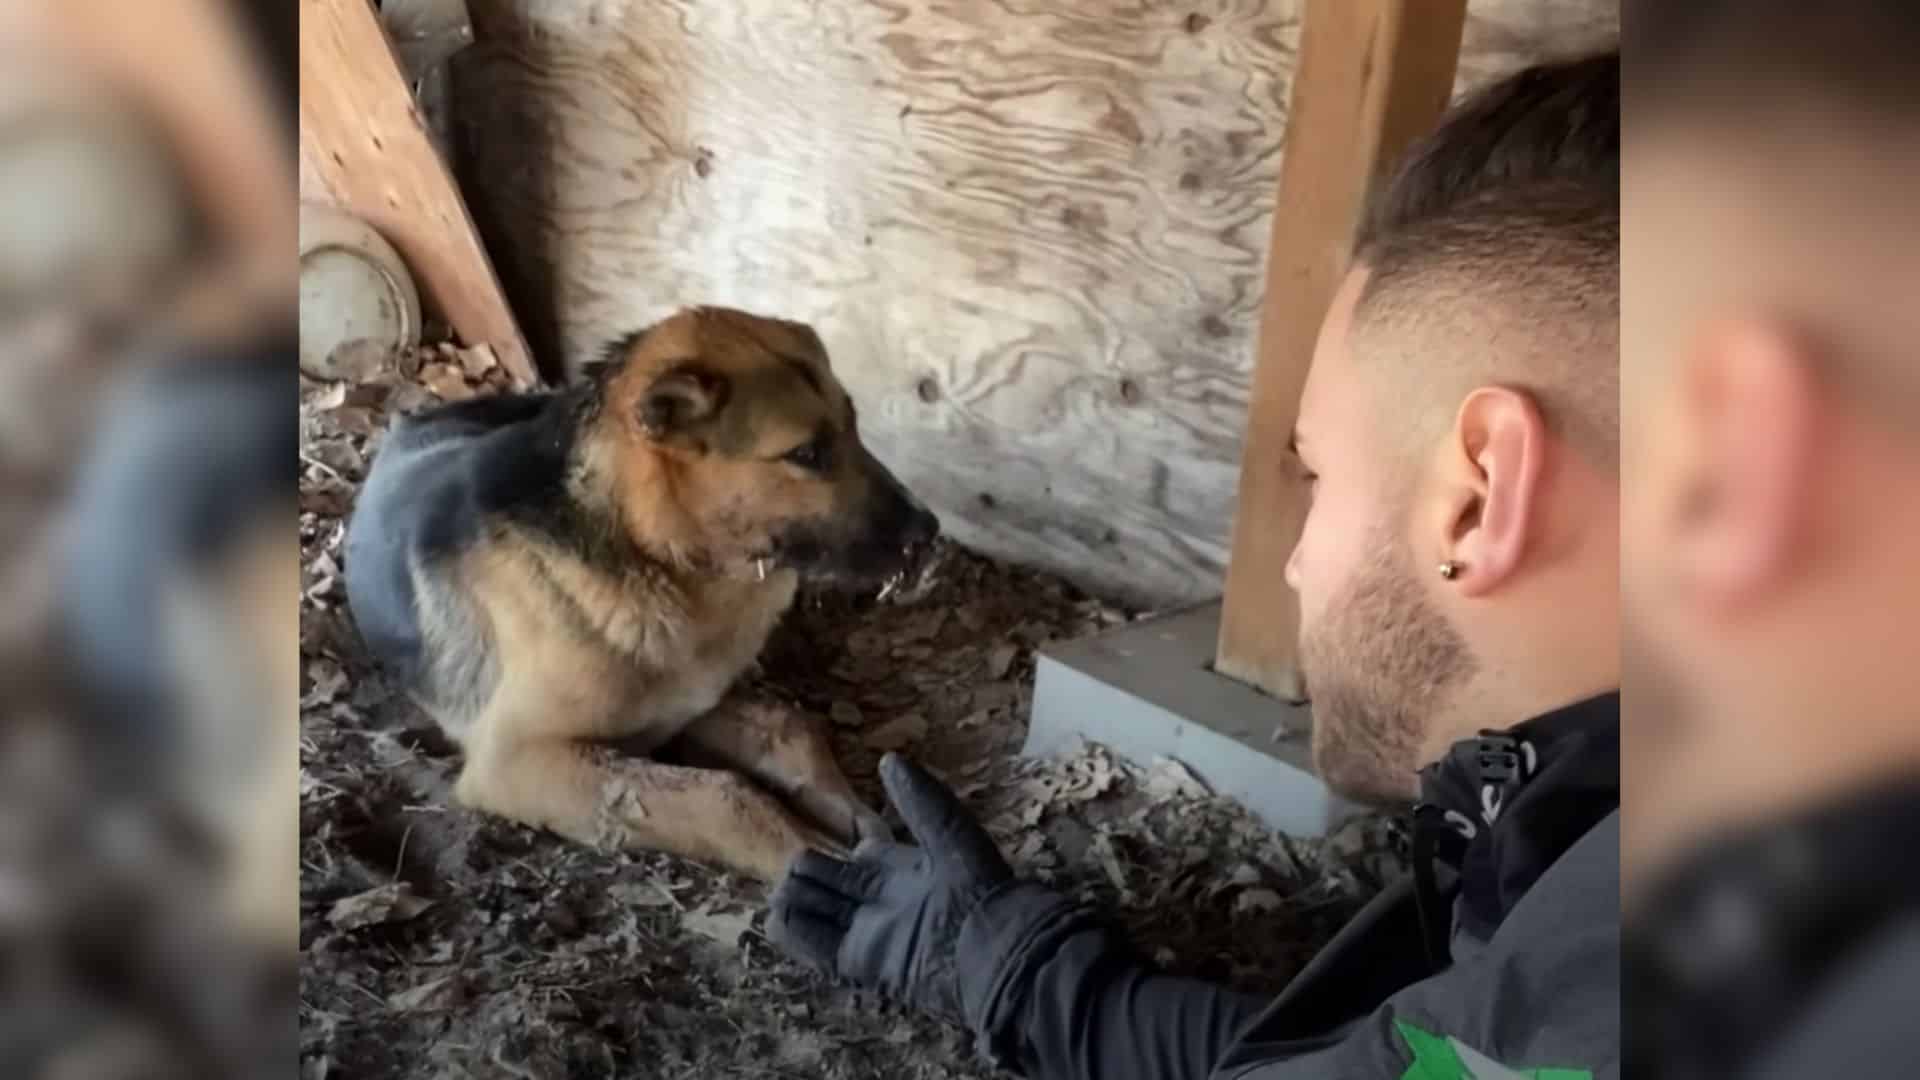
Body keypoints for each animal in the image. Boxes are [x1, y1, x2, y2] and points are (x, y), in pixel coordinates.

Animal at [351, 307, 944, 880]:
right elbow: (723, 794)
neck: (654, 553)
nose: (929, 530)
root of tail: (408, 419)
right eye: (807, 454)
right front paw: (808, 851)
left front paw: (853, 813)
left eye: (854, 425)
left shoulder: (688, 700)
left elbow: (787, 725)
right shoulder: (516, 760)